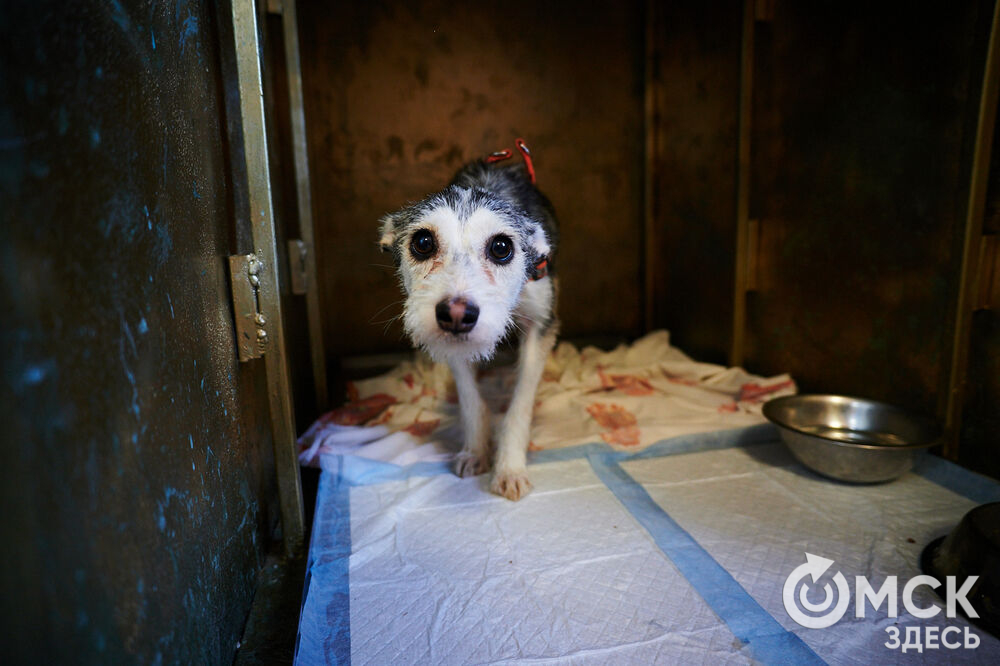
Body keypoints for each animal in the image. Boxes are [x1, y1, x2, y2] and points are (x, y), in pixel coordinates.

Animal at [378, 145, 560, 498]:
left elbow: (521, 402)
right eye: (422, 242)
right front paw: (475, 452)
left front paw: (510, 469)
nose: (457, 314)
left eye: (501, 247)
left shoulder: (541, 321)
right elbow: (470, 397)